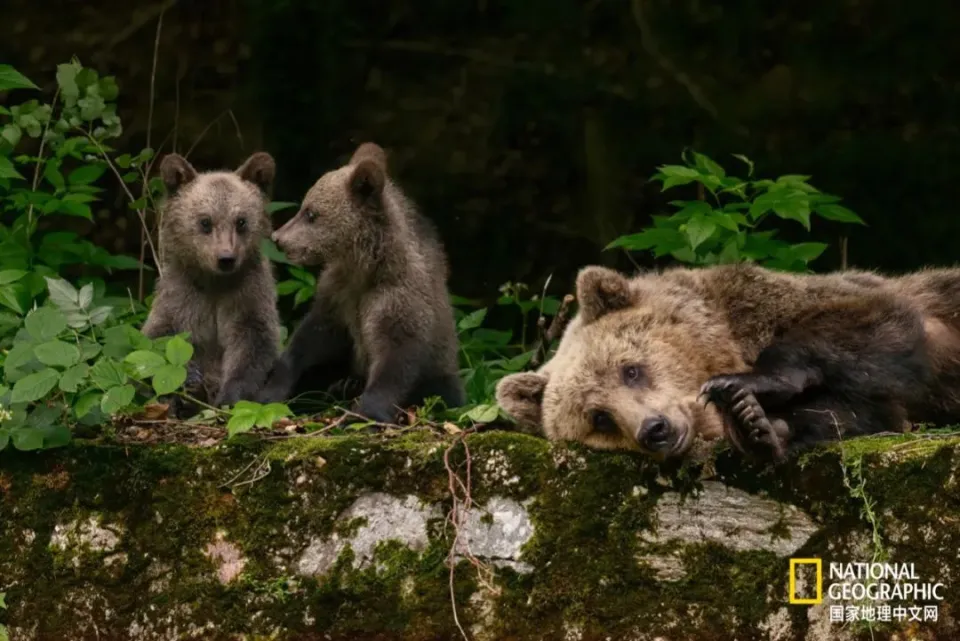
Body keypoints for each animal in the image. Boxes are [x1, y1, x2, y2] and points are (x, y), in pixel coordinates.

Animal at [496, 262, 960, 462]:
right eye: (599, 418)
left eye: (631, 369)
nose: (655, 430)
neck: (729, 338)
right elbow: (856, 413)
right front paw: (758, 426)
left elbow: (868, 321)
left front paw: (746, 387)